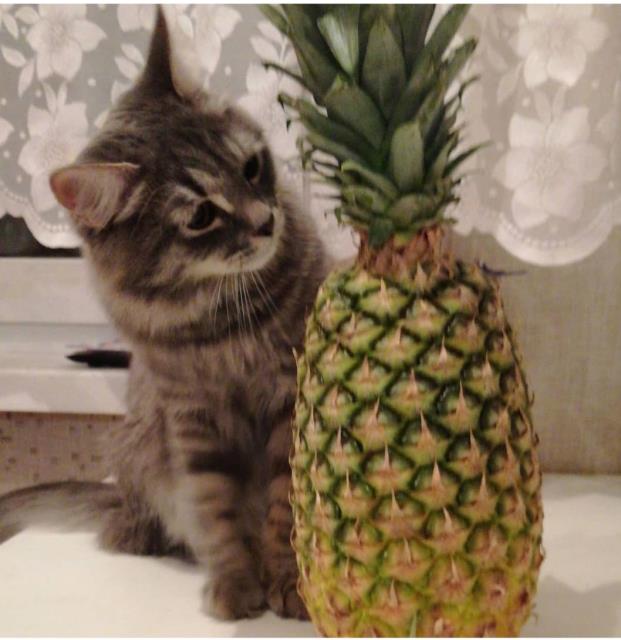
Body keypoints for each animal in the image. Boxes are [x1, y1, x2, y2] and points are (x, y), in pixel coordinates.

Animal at [0, 7, 328, 621]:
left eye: (252, 167)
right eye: (201, 216)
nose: (265, 221)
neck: (224, 323)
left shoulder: (287, 399)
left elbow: (283, 506)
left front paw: (288, 583)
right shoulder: (192, 418)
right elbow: (216, 510)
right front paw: (235, 583)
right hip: (139, 444)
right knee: (140, 509)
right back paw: (132, 530)